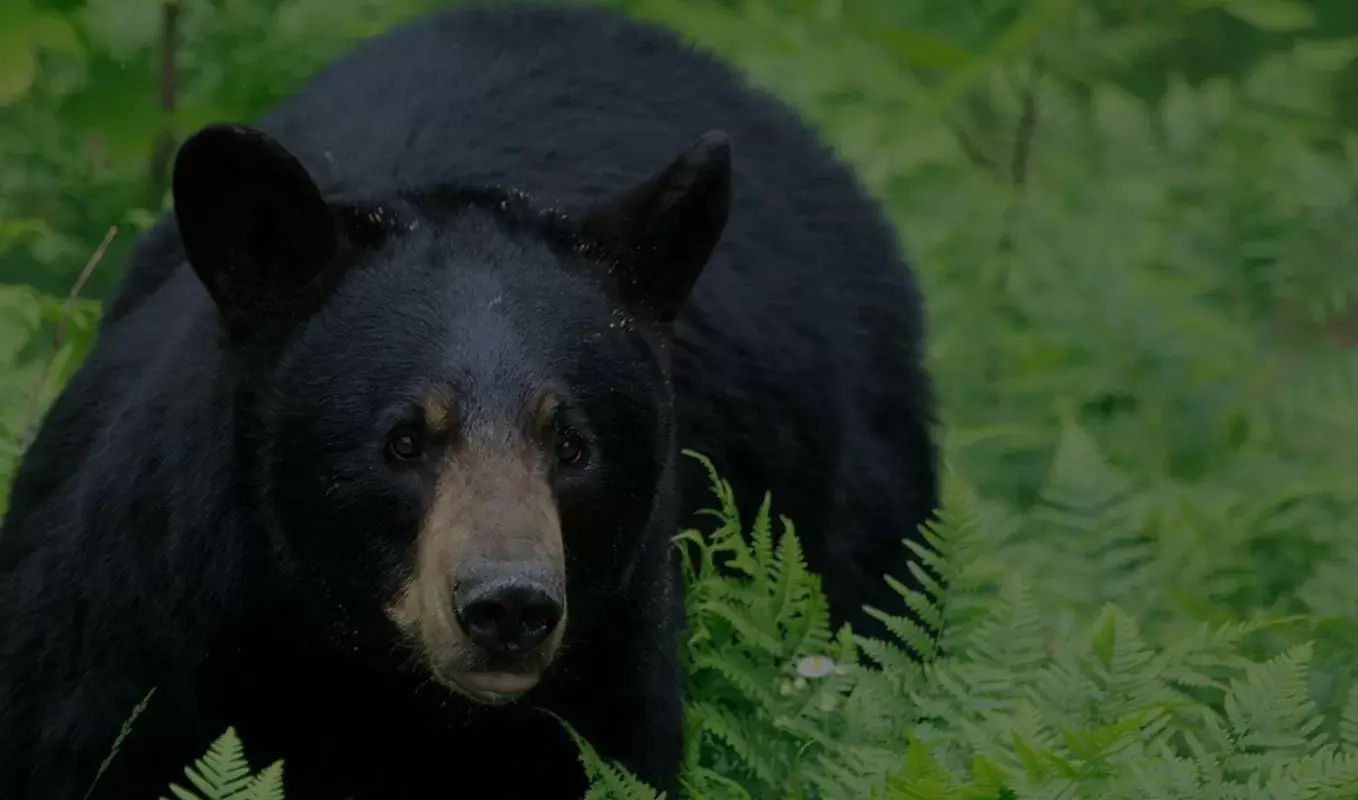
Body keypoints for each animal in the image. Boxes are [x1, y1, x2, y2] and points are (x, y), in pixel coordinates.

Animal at [0, 3, 937, 799]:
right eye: (403, 441)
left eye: (573, 445)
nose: (508, 606)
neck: (369, 689)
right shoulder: (135, 642)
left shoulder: (611, 681)